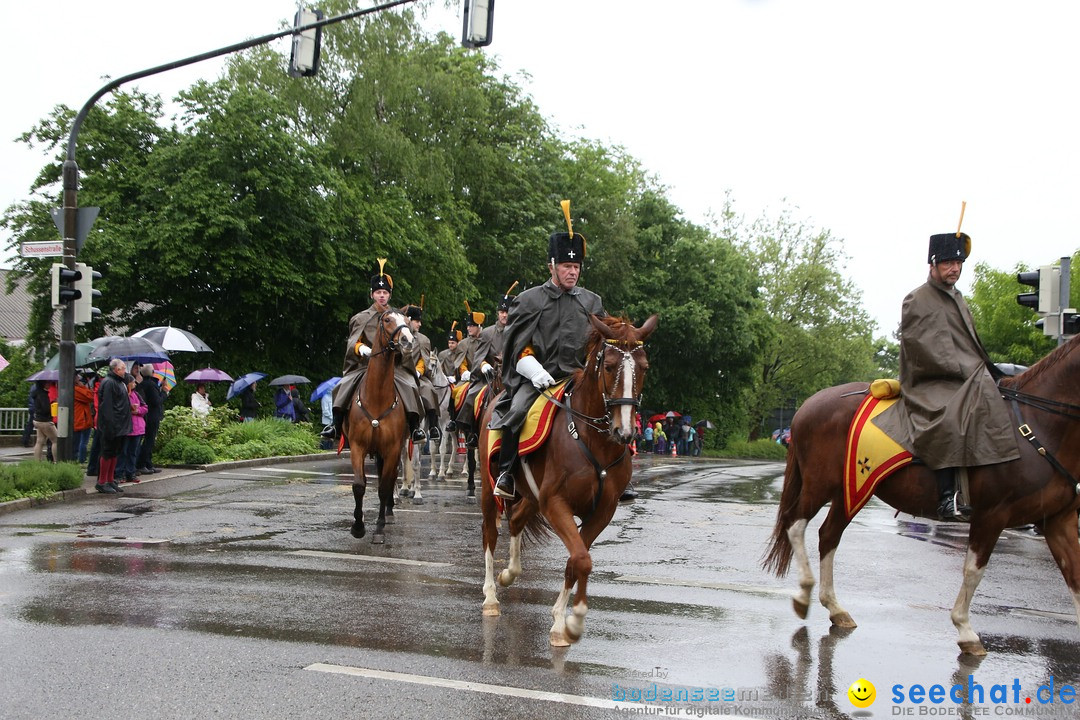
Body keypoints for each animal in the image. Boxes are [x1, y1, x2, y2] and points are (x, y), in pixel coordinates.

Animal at [345, 310, 412, 546]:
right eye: (387, 320)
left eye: (407, 321)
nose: (407, 340)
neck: (377, 398)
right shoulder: (357, 447)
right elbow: (359, 485)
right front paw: (358, 526)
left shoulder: (392, 449)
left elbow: (383, 488)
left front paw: (379, 529)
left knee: (389, 480)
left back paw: (388, 515)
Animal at [481, 315, 656, 647]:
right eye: (609, 366)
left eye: (644, 367)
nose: (625, 432)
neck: (593, 441)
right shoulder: (556, 503)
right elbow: (582, 559)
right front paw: (574, 622)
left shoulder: (602, 511)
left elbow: (577, 560)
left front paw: (562, 623)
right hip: (489, 489)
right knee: (490, 534)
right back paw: (491, 597)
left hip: (533, 497)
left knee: (517, 519)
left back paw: (510, 572)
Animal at [760, 334, 1080, 656]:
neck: (1036, 426)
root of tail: (809, 404)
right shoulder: (991, 515)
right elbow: (973, 571)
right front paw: (965, 631)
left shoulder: (1058, 521)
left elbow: (1075, 576)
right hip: (820, 484)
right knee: (795, 524)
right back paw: (804, 593)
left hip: (852, 491)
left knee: (828, 535)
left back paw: (835, 608)